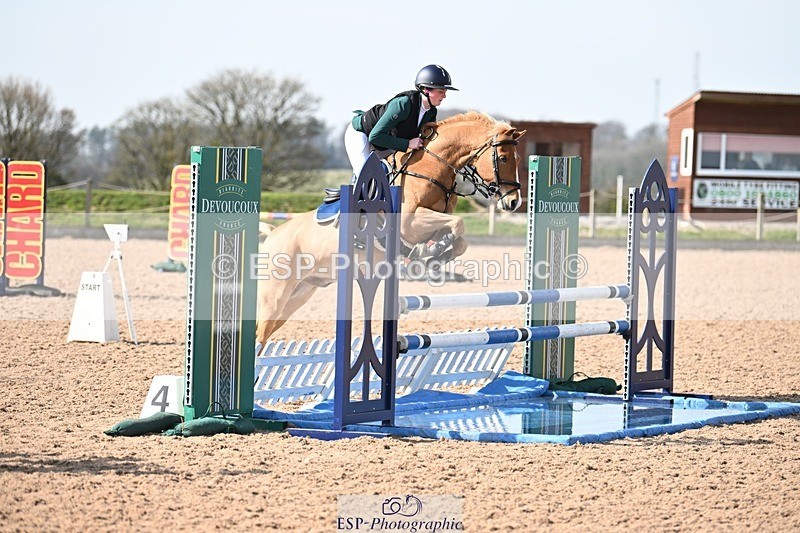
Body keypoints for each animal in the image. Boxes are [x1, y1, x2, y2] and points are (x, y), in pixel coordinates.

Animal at [255, 111, 526, 346]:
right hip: (276, 294)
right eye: (503, 158)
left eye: (519, 159)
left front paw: (434, 256)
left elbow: (459, 238)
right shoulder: (410, 223)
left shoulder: (435, 221)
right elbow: (459, 224)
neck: (430, 167)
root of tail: (273, 233)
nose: (513, 202)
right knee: (259, 333)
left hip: (300, 293)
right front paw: (429, 253)